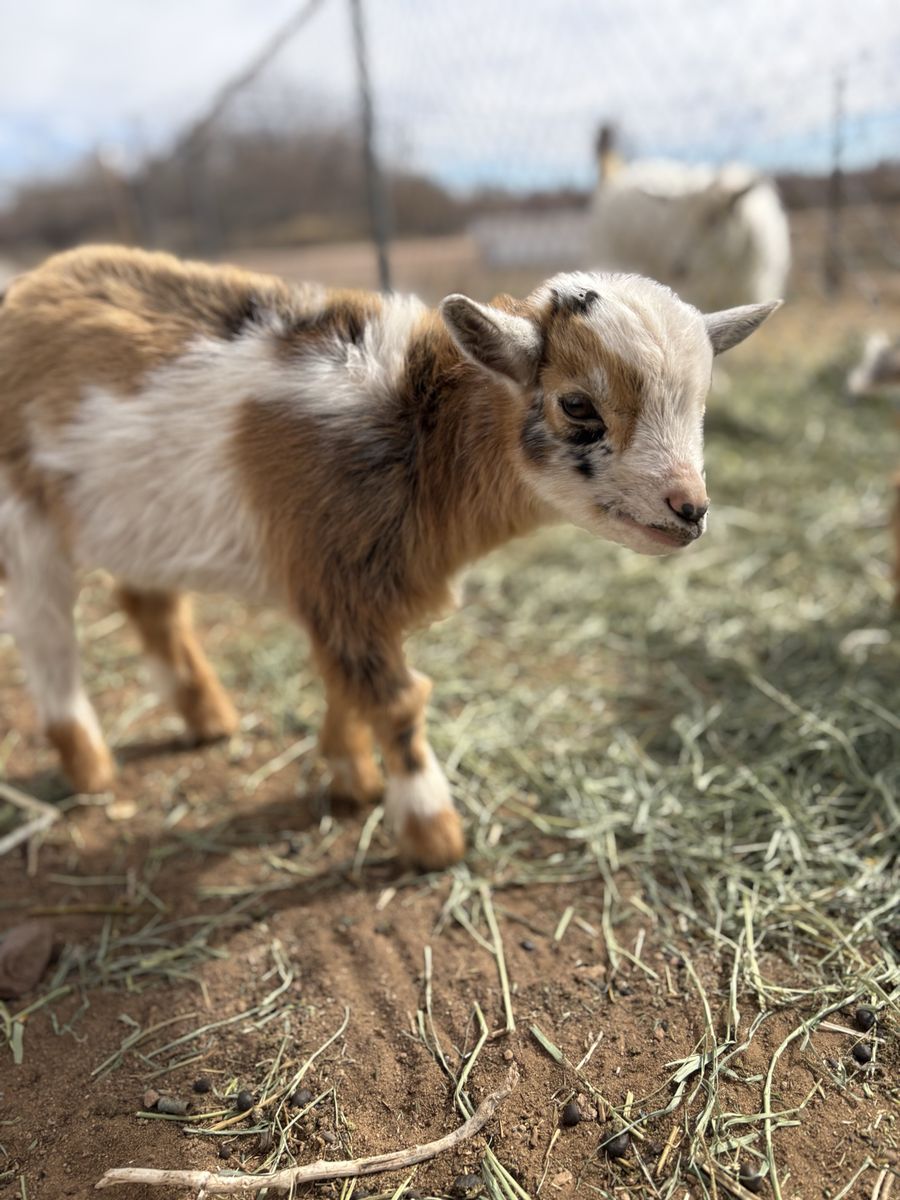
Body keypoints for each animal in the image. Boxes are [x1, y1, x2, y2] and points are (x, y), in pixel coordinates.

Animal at [0, 246, 779, 867]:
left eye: (700, 404)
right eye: (578, 404)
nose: (689, 510)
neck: (415, 418)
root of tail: (26, 290)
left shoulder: (345, 587)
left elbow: (344, 683)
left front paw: (351, 779)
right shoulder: (340, 576)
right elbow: (397, 700)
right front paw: (432, 832)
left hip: (141, 522)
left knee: (148, 602)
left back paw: (208, 719)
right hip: (26, 522)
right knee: (47, 635)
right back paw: (91, 768)